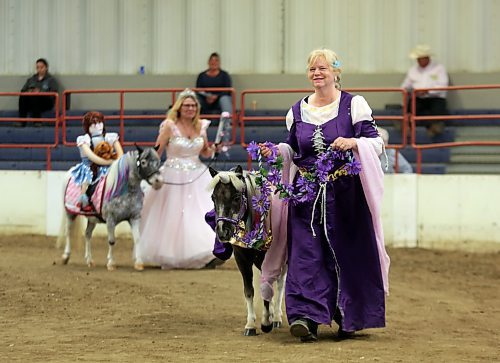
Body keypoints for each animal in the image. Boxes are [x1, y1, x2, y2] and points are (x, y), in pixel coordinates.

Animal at [207, 166, 286, 336]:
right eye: (213, 198)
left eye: (237, 197)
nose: (222, 232)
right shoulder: (242, 259)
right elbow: (249, 291)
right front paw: (250, 325)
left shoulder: (267, 258)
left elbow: (267, 286)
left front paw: (266, 323)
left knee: (280, 284)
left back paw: (276, 317)